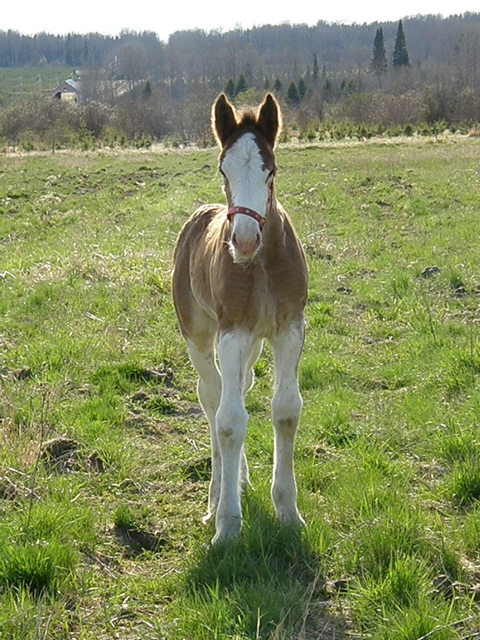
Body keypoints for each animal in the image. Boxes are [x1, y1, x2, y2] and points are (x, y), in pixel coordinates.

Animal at [172, 92, 308, 544]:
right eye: (222, 168)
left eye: (272, 170)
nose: (245, 240)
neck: (261, 264)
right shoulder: (231, 333)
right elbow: (229, 422)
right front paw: (227, 524)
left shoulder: (289, 329)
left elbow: (286, 409)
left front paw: (288, 511)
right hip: (199, 335)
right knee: (213, 398)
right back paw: (217, 495)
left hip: (252, 343)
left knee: (241, 389)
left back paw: (241, 479)